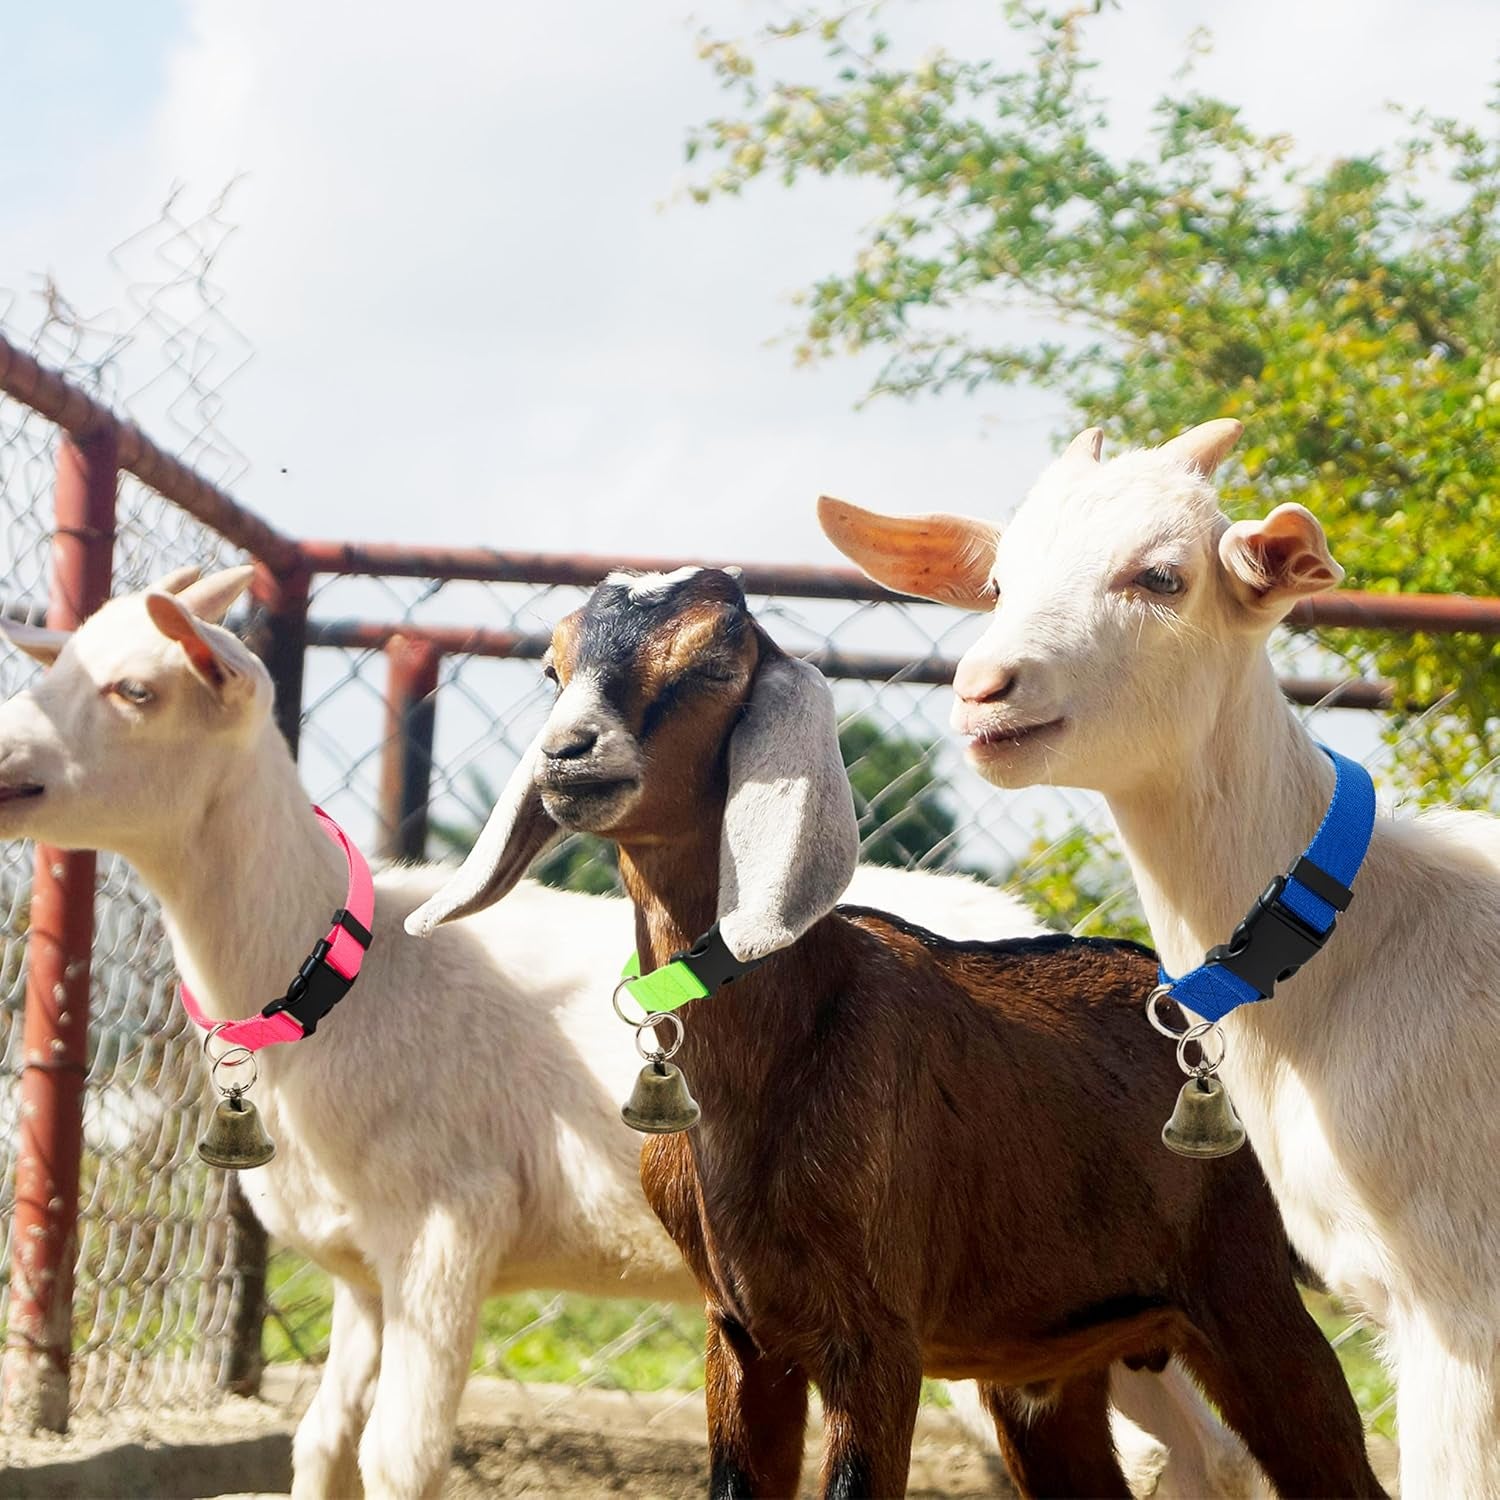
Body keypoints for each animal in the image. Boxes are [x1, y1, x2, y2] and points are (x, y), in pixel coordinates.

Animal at [0, 567, 1256, 1499]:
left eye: (135, 690)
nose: (5, 767)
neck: (346, 965)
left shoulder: (448, 1223)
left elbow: (402, 1457)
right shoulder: (362, 1276)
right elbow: (323, 1450)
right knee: (1202, 1453)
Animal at [407, 565, 1382, 1499]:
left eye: (715, 663)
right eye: (553, 667)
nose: (568, 756)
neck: (789, 1038)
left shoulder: (875, 1339)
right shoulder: (740, 1335)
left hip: (1248, 1293)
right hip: (1049, 1365)